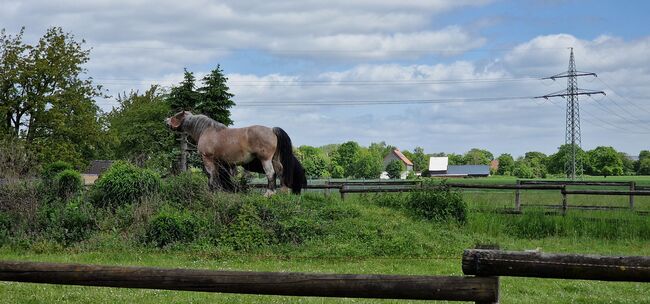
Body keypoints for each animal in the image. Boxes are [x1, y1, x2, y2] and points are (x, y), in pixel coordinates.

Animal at [162, 111, 304, 195]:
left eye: (176, 115)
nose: (165, 121)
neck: (206, 131)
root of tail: (272, 130)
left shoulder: (207, 158)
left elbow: (210, 174)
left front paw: (212, 190)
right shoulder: (218, 161)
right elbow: (217, 175)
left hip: (265, 160)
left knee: (271, 174)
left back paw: (269, 194)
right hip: (274, 159)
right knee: (280, 171)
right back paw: (283, 192)